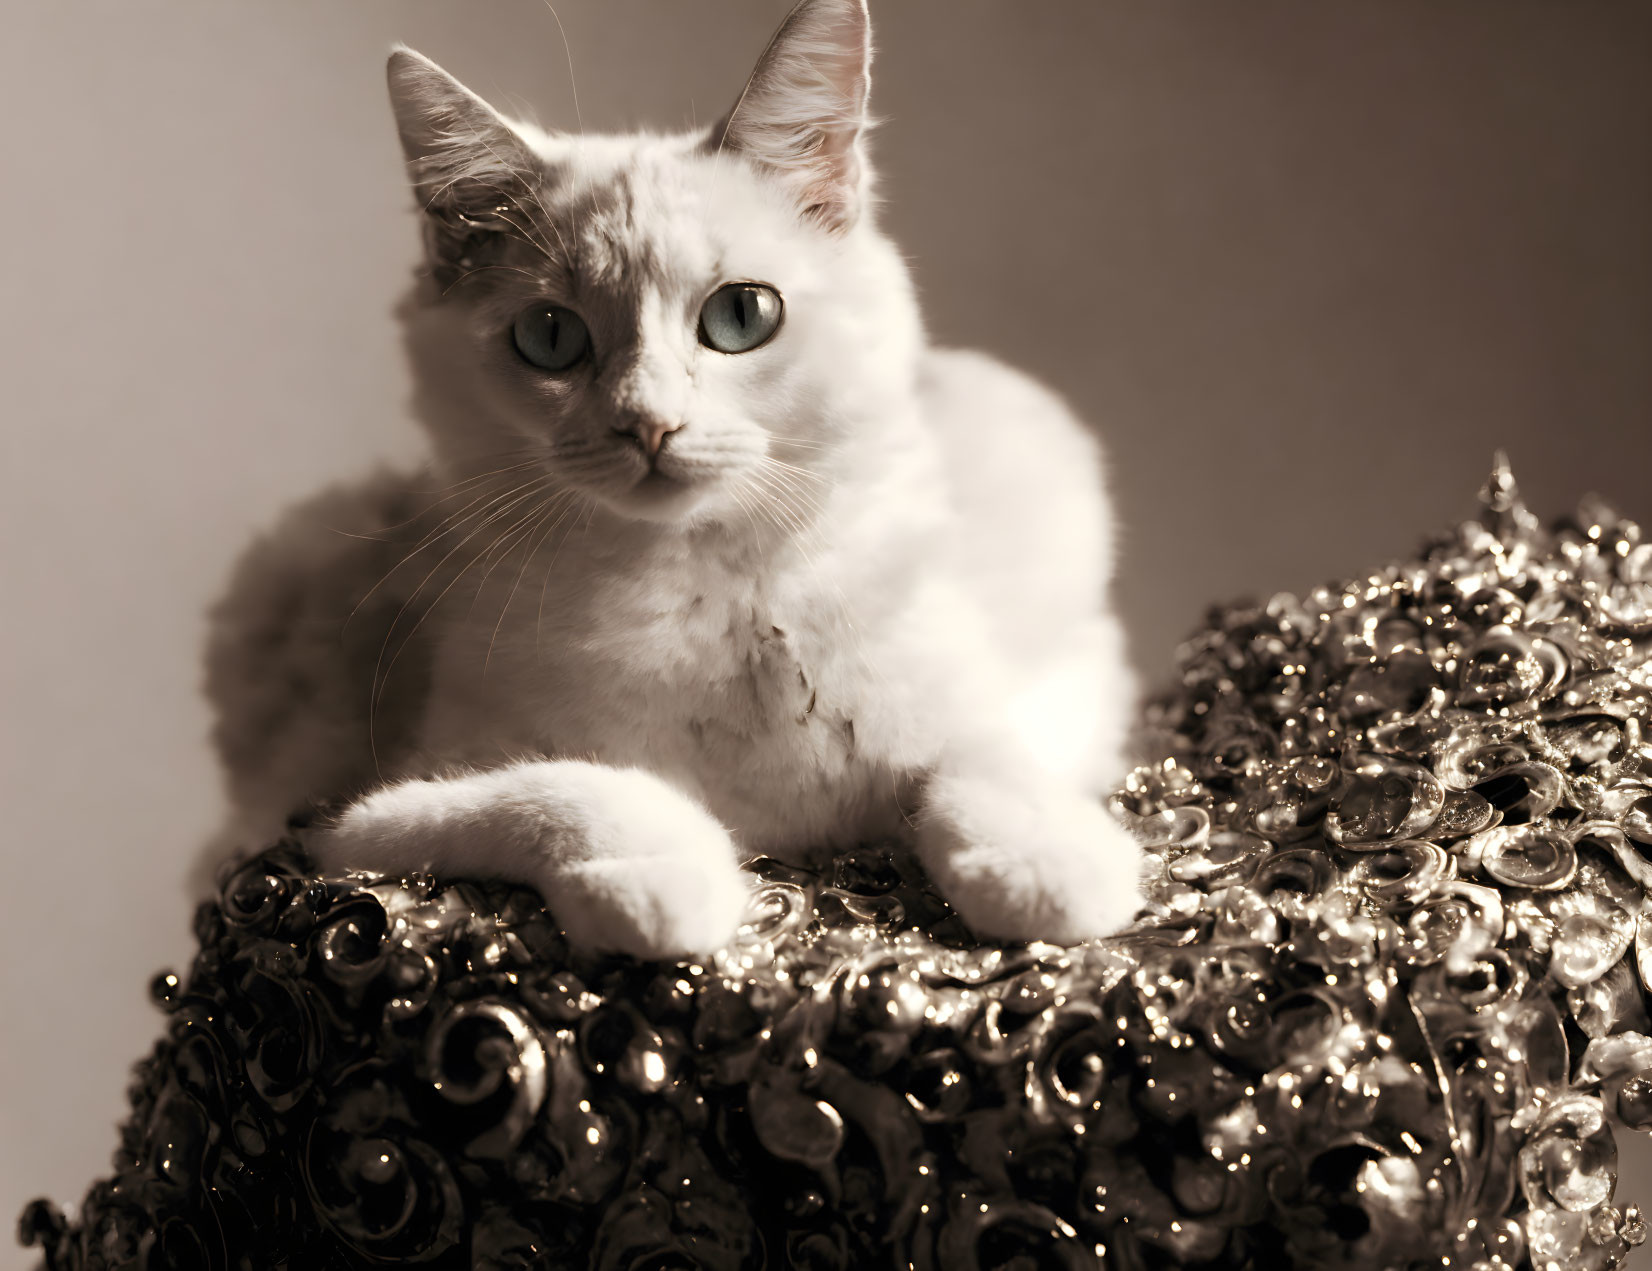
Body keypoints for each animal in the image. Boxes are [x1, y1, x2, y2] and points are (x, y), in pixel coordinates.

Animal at [206, 0, 1143, 952]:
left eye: (741, 316)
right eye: (550, 337)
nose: (647, 423)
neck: (705, 585)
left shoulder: (1050, 700)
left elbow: (984, 763)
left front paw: (1044, 867)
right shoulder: (352, 821)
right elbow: (570, 787)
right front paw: (667, 883)